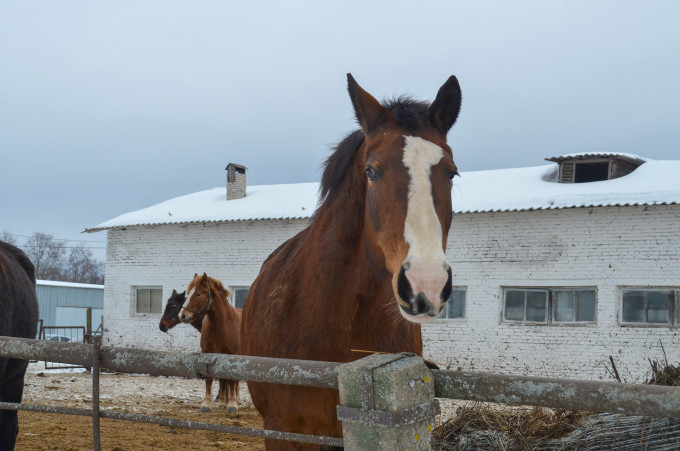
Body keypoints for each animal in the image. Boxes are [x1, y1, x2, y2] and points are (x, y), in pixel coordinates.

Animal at [179, 274, 243, 414]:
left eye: (198, 293)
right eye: (188, 293)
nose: (182, 316)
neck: (221, 325)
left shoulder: (232, 354)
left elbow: (232, 379)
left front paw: (232, 405)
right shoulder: (208, 353)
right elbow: (210, 379)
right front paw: (206, 404)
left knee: (235, 381)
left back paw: (235, 400)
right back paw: (223, 402)